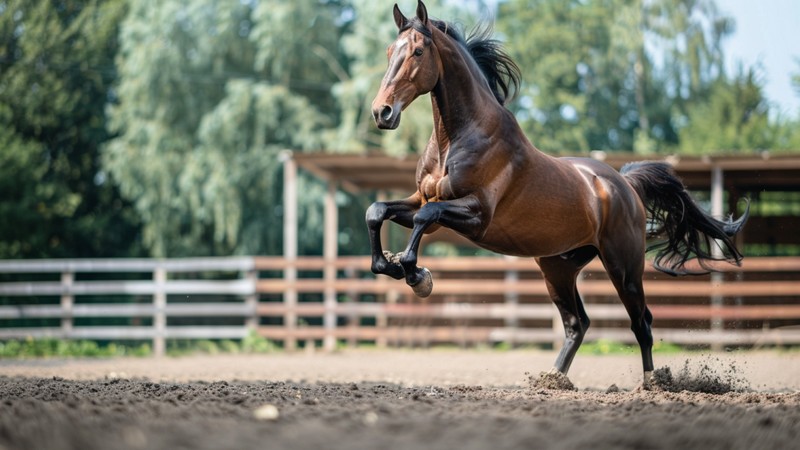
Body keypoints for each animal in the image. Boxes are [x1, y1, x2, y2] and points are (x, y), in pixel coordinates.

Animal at [364, 0, 752, 386]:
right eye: (389, 51)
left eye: (417, 51)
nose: (382, 112)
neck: (460, 139)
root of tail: (625, 184)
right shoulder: (423, 200)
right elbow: (378, 210)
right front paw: (390, 264)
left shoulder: (476, 214)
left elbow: (423, 218)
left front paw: (417, 276)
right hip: (558, 266)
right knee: (577, 323)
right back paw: (553, 380)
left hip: (623, 266)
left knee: (641, 322)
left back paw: (652, 382)